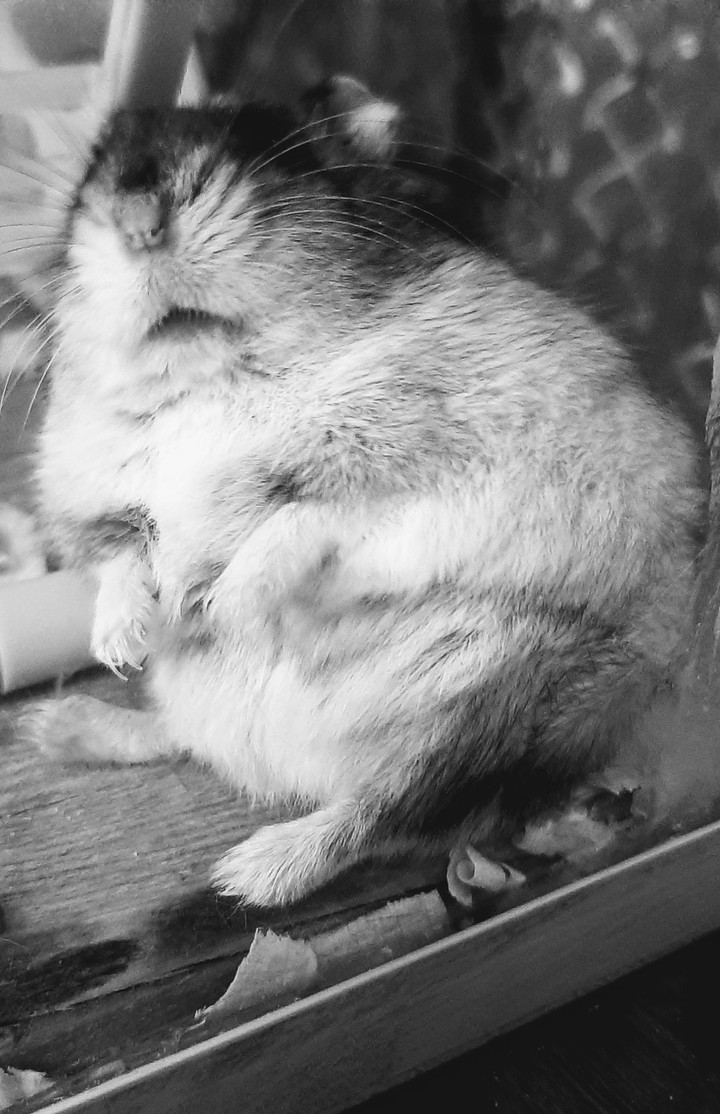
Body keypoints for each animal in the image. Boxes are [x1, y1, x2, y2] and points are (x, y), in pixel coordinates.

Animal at [31, 78, 703, 907]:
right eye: (92, 172)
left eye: (267, 145)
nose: (139, 222)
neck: (213, 378)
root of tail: (292, 763)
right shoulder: (89, 500)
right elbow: (122, 556)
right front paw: (129, 639)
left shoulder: (416, 477)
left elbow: (296, 519)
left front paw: (218, 606)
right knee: (181, 739)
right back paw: (62, 727)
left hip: (495, 715)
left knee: (382, 817)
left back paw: (248, 874)